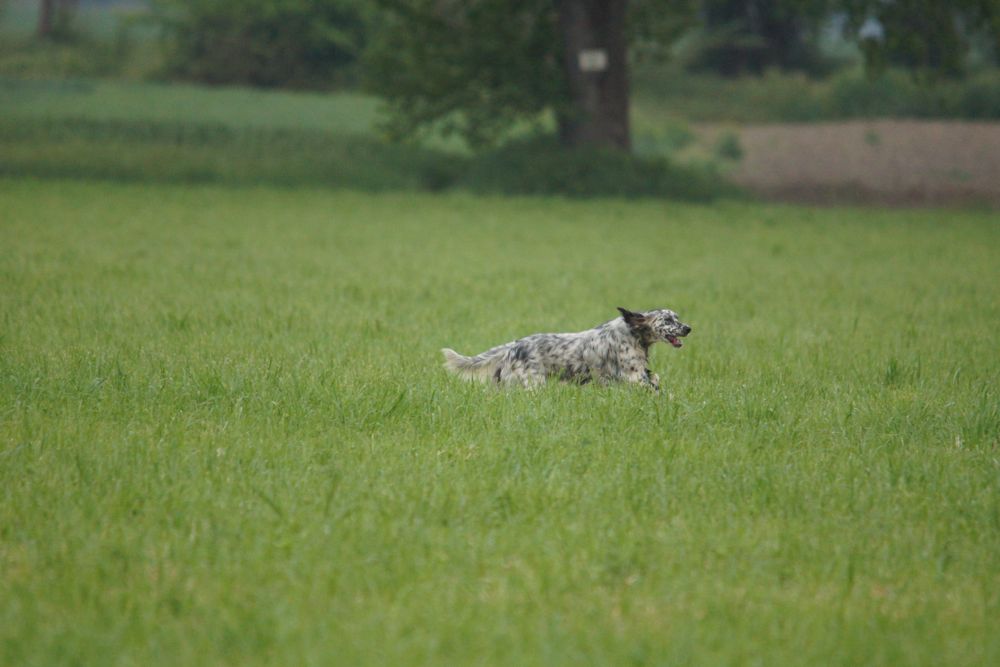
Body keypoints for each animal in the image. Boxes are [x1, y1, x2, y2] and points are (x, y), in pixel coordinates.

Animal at [441, 307, 691, 389]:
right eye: (667, 319)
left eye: (677, 317)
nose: (688, 328)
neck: (633, 333)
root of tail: (513, 346)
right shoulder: (634, 377)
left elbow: (656, 379)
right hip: (533, 384)